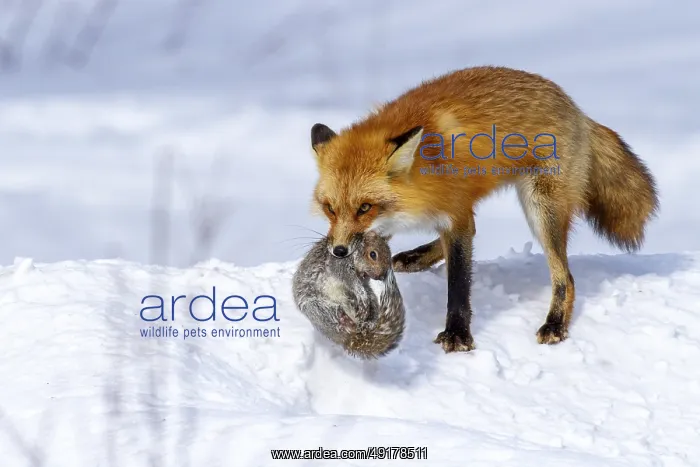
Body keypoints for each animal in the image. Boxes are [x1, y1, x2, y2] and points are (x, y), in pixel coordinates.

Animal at [292, 231, 406, 359]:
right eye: (373, 254)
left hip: (370, 301)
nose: (381, 276)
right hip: (316, 308)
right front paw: (361, 294)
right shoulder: (339, 264)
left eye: (389, 254)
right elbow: (351, 281)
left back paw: (367, 321)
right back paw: (345, 319)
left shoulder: (364, 280)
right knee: (332, 318)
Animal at [308, 65, 659, 353]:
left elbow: (459, 285)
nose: (338, 251)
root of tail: (576, 107)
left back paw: (555, 323)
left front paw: (457, 335)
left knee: (565, 278)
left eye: (365, 207)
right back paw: (416, 256)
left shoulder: (456, 217)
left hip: (541, 208)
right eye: (330, 209)